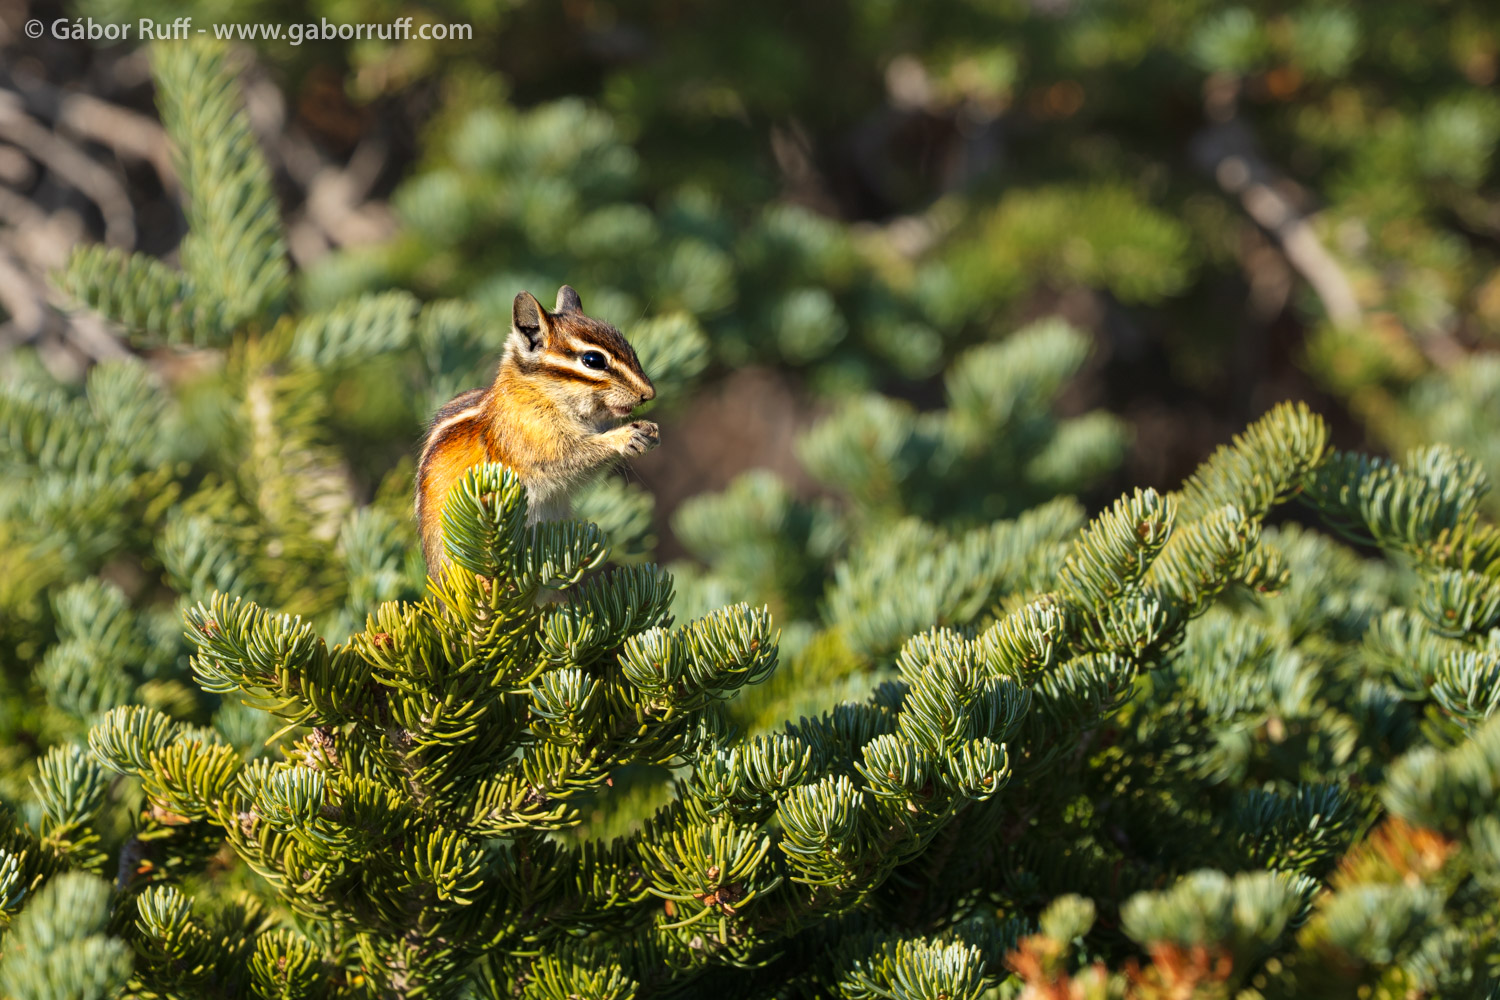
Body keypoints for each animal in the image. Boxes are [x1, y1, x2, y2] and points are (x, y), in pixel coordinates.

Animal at [416, 285, 658, 573]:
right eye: (593, 360)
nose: (649, 393)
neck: (540, 392)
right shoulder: (536, 439)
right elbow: (568, 456)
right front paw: (624, 436)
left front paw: (648, 430)